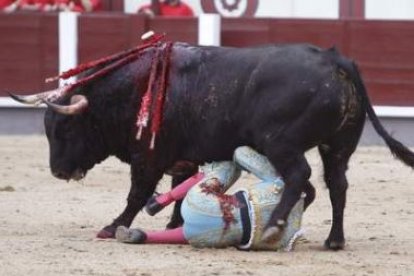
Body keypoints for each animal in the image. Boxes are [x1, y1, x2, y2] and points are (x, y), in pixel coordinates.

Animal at [9, 43, 414, 250]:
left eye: (65, 128)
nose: (58, 171)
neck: (133, 89)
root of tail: (334, 58)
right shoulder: (182, 157)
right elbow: (174, 188)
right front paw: (174, 221)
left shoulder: (148, 157)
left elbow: (137, 194)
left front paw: (113, 226)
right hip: (338, 147)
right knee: (337, 185)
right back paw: (334, 240)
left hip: (281, 143)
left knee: (301, 174)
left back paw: (274, 226)